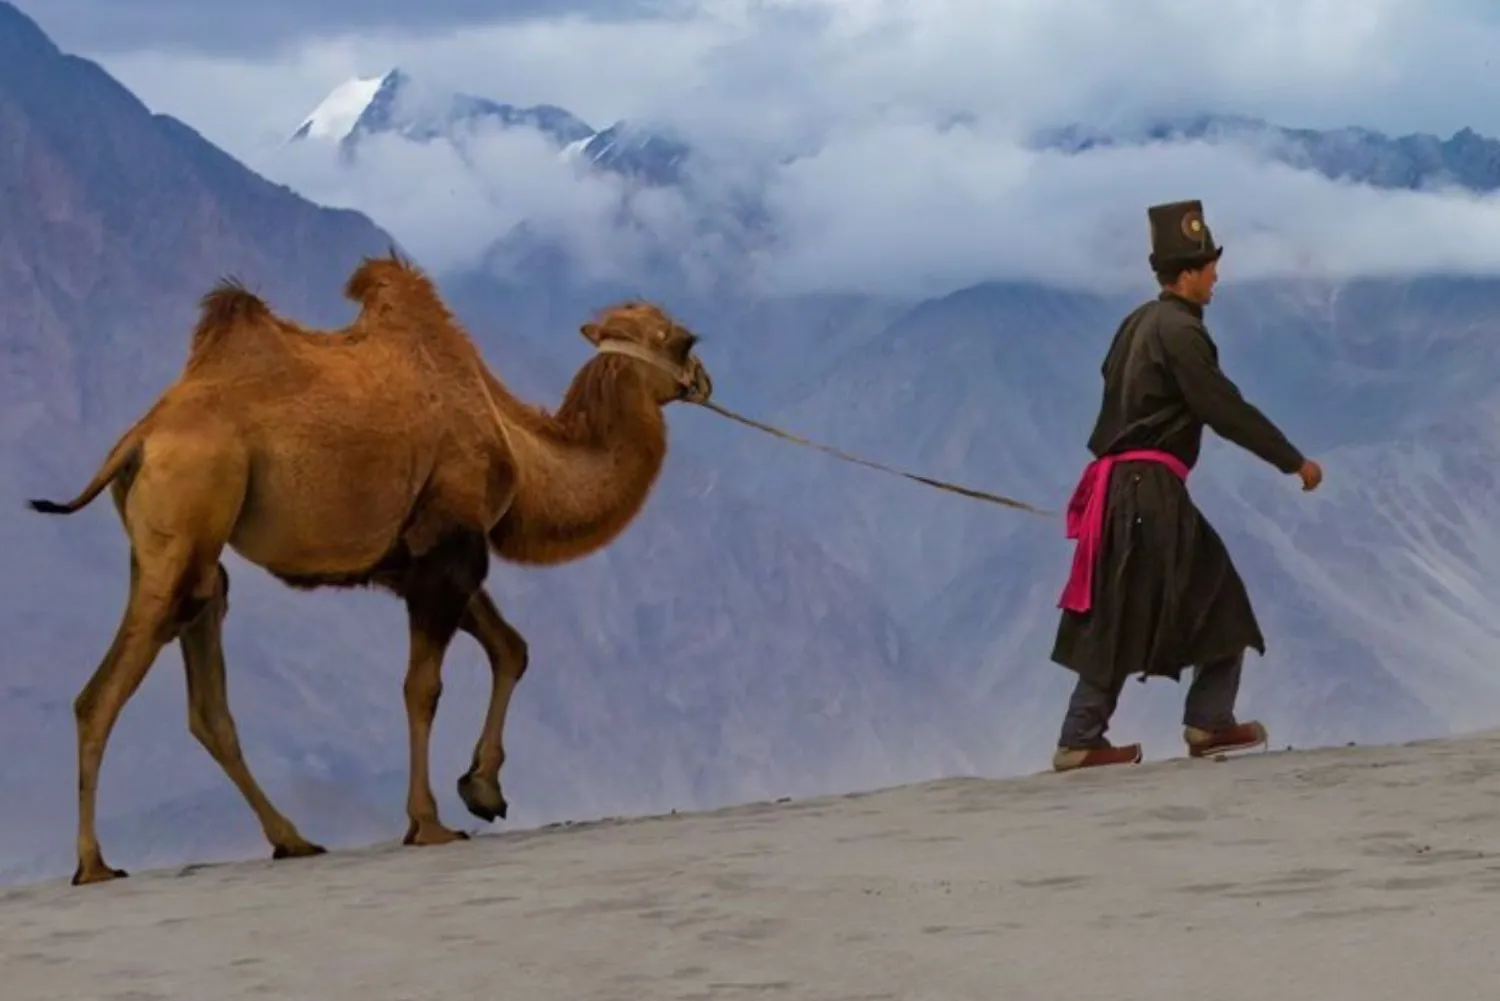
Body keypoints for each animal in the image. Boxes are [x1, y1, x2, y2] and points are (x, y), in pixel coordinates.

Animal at [27, 251, 713, 886]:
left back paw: (292, 839)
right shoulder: (450, 546)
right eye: (683, 340)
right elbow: (423, 687)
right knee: (102, 694)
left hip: (185, 548)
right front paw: (430, 822)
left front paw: (482, 789)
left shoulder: (419, 560)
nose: (705, 382)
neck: (516, 445)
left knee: (206, 687)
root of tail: (140, 436)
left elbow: (510, 649)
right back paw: (93, 864)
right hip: (192, 501)